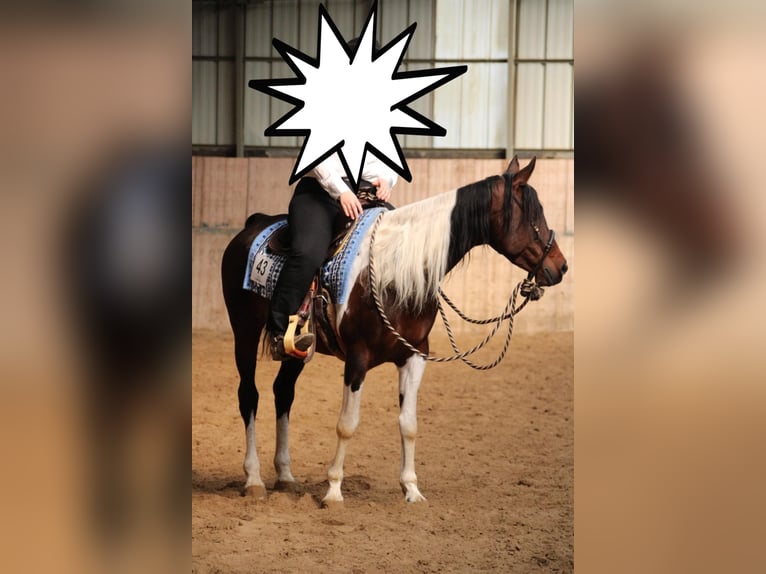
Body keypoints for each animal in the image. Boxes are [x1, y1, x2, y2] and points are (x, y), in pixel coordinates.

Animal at [221, 156, 568, 503]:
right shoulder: (357, 359)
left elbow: (409, 424)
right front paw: (333, 491)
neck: (395, 271)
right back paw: (254, 479)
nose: (561, 266)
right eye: (532, 216)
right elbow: (347, 423)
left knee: (283, 392)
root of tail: (253, 224)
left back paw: (285, 476)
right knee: (249, 395)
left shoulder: (414, 356)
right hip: (244, 333)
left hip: (300, 349)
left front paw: (412, 489)